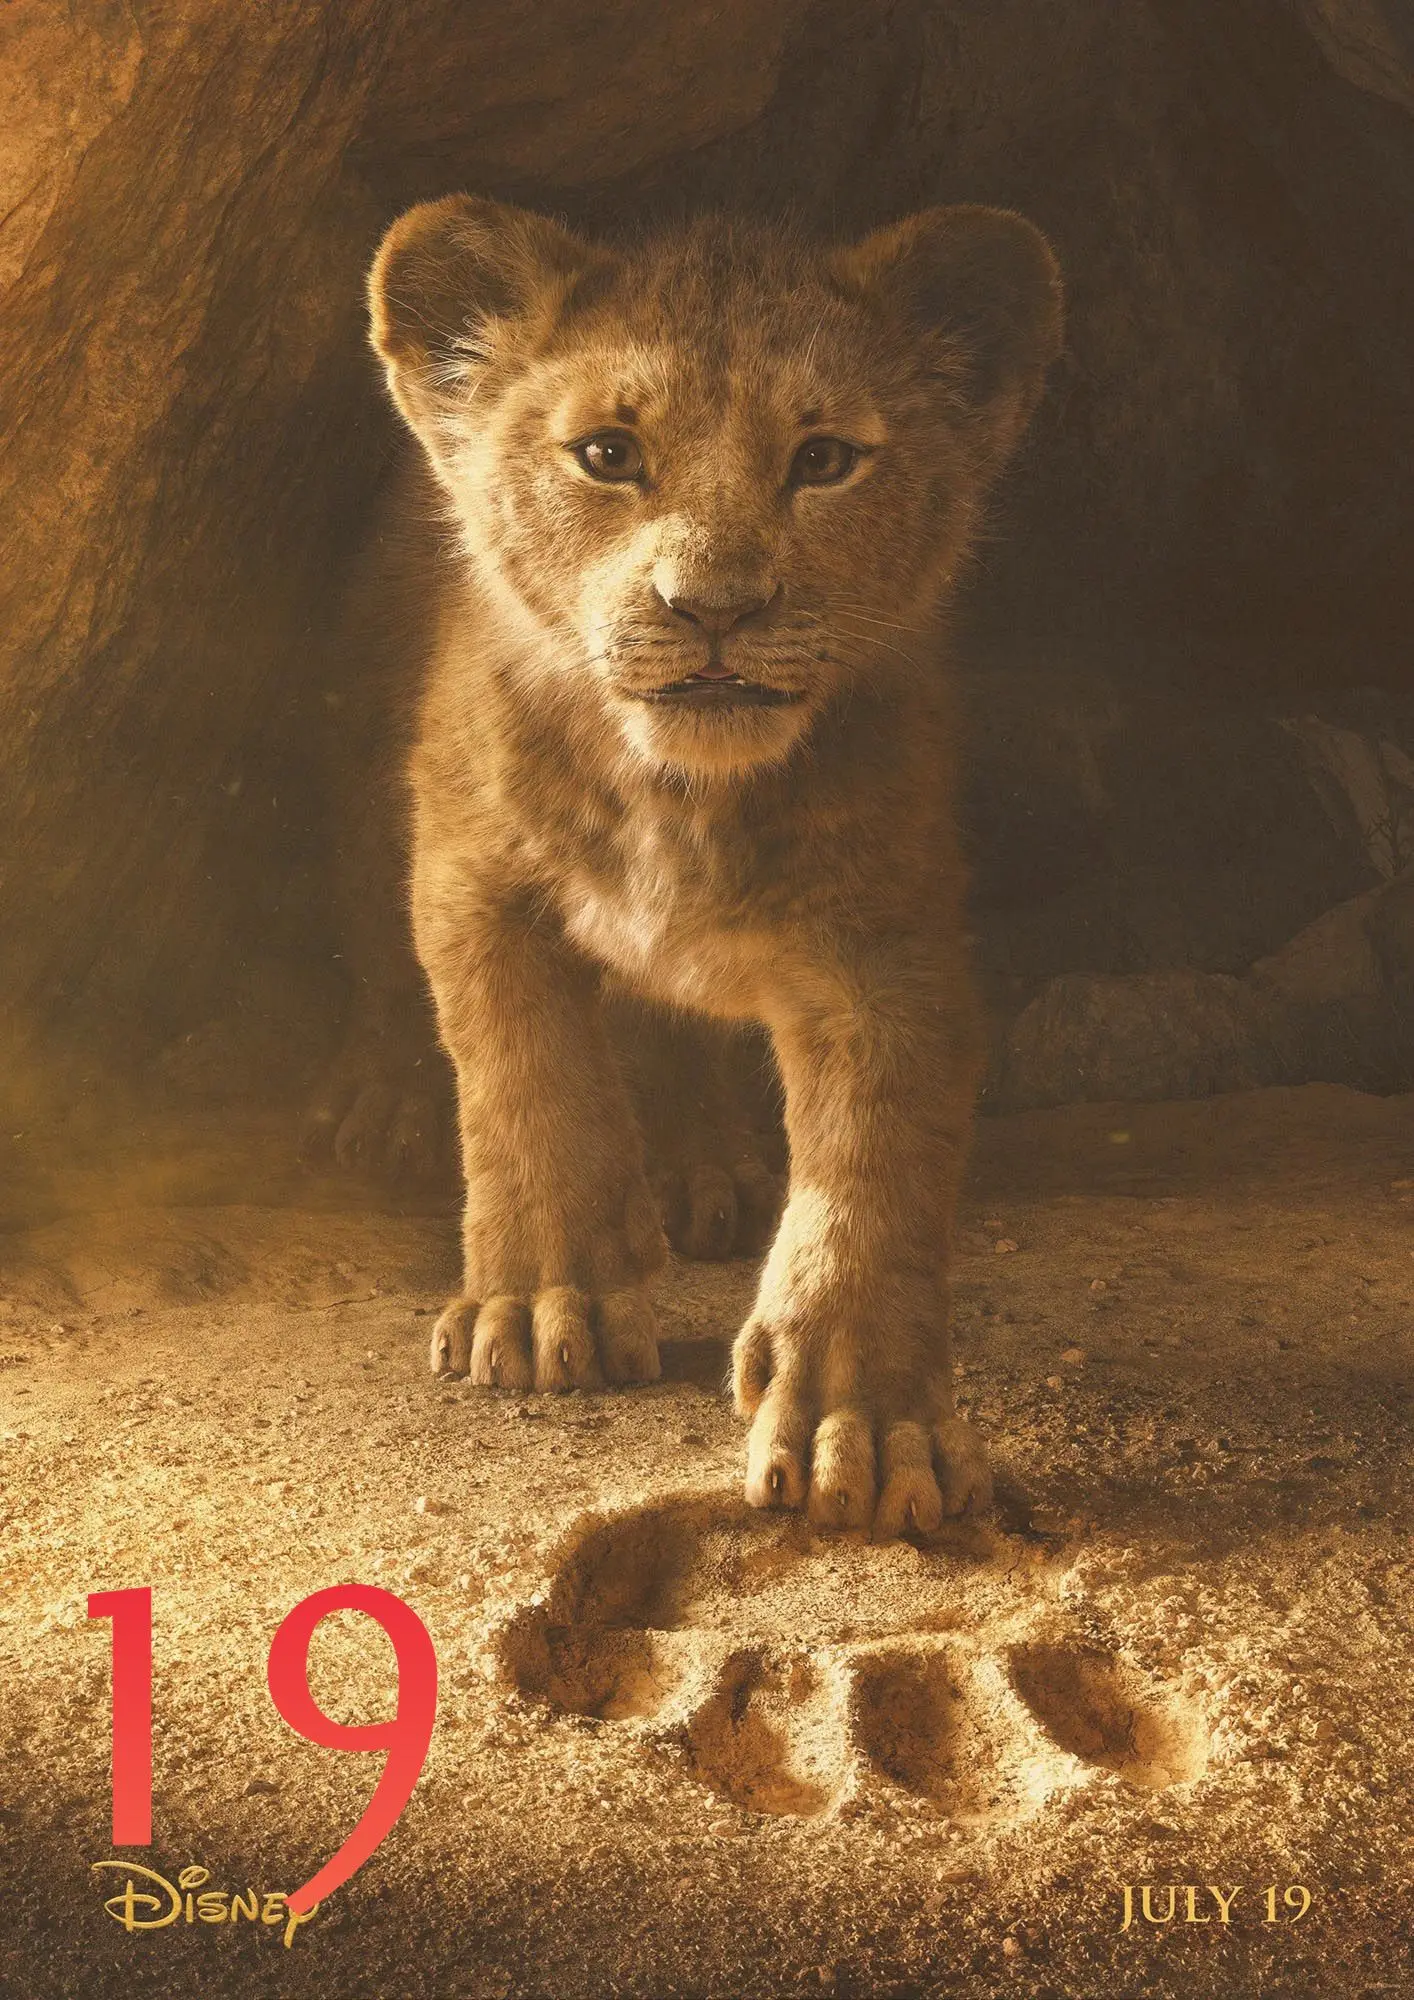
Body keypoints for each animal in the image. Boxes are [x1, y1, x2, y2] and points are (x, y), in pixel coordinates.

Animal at [346, 193, 1061, 1538]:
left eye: (824, 460)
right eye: (607, 454)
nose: (713, 607)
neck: (677, 795)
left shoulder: (887, 943)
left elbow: (872, 1168)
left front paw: (861, 1420)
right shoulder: (472, 875)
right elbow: (527, 1080)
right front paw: (543, 1303)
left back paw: (702, 1167)